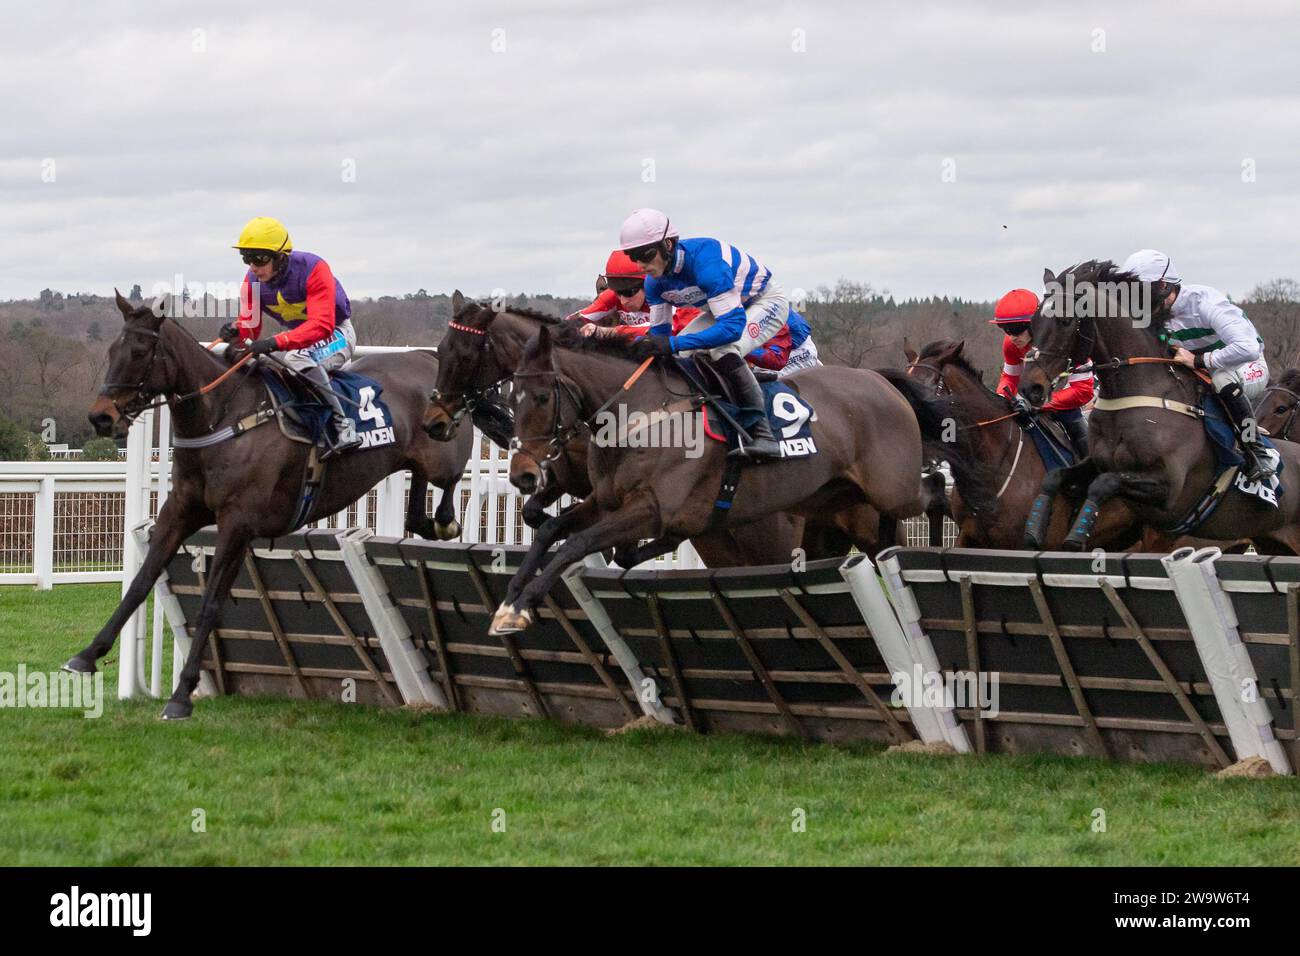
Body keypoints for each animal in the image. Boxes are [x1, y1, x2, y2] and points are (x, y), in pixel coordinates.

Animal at [64, 291, 473, 717]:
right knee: (417, 495)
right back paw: (427, 522)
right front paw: (87, 655)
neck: (222, 417)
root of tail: (426, 357)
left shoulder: (237, 524)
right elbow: (140, 583)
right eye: (112, 350)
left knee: (450, 479)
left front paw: (181, 695)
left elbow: (211, 603)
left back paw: (444, 521)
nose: (101, 417)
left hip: (443, 447)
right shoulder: (179, 512)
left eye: (140, 351)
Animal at [488, 323, 946, 634]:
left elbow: (577, 543)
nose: (523, 473)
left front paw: (523, 606)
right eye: (510, 397)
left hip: (892, 488)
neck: (643, 413)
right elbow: (552, 532)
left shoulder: (651, 508)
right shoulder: (605, 502)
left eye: (542, 397)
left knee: (936, 490)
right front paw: (509, 602)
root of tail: (881, 380)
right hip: (832, 497)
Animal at [1019, 261, 1300, 554]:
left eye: (1065, 321)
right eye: (1032, 323)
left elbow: (1103, 484)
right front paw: (1035, 528)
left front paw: (1077, 534)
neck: (1140, 391)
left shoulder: (1168, 488)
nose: (1030, 388)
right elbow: (1055, 477)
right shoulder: (1097, 463)